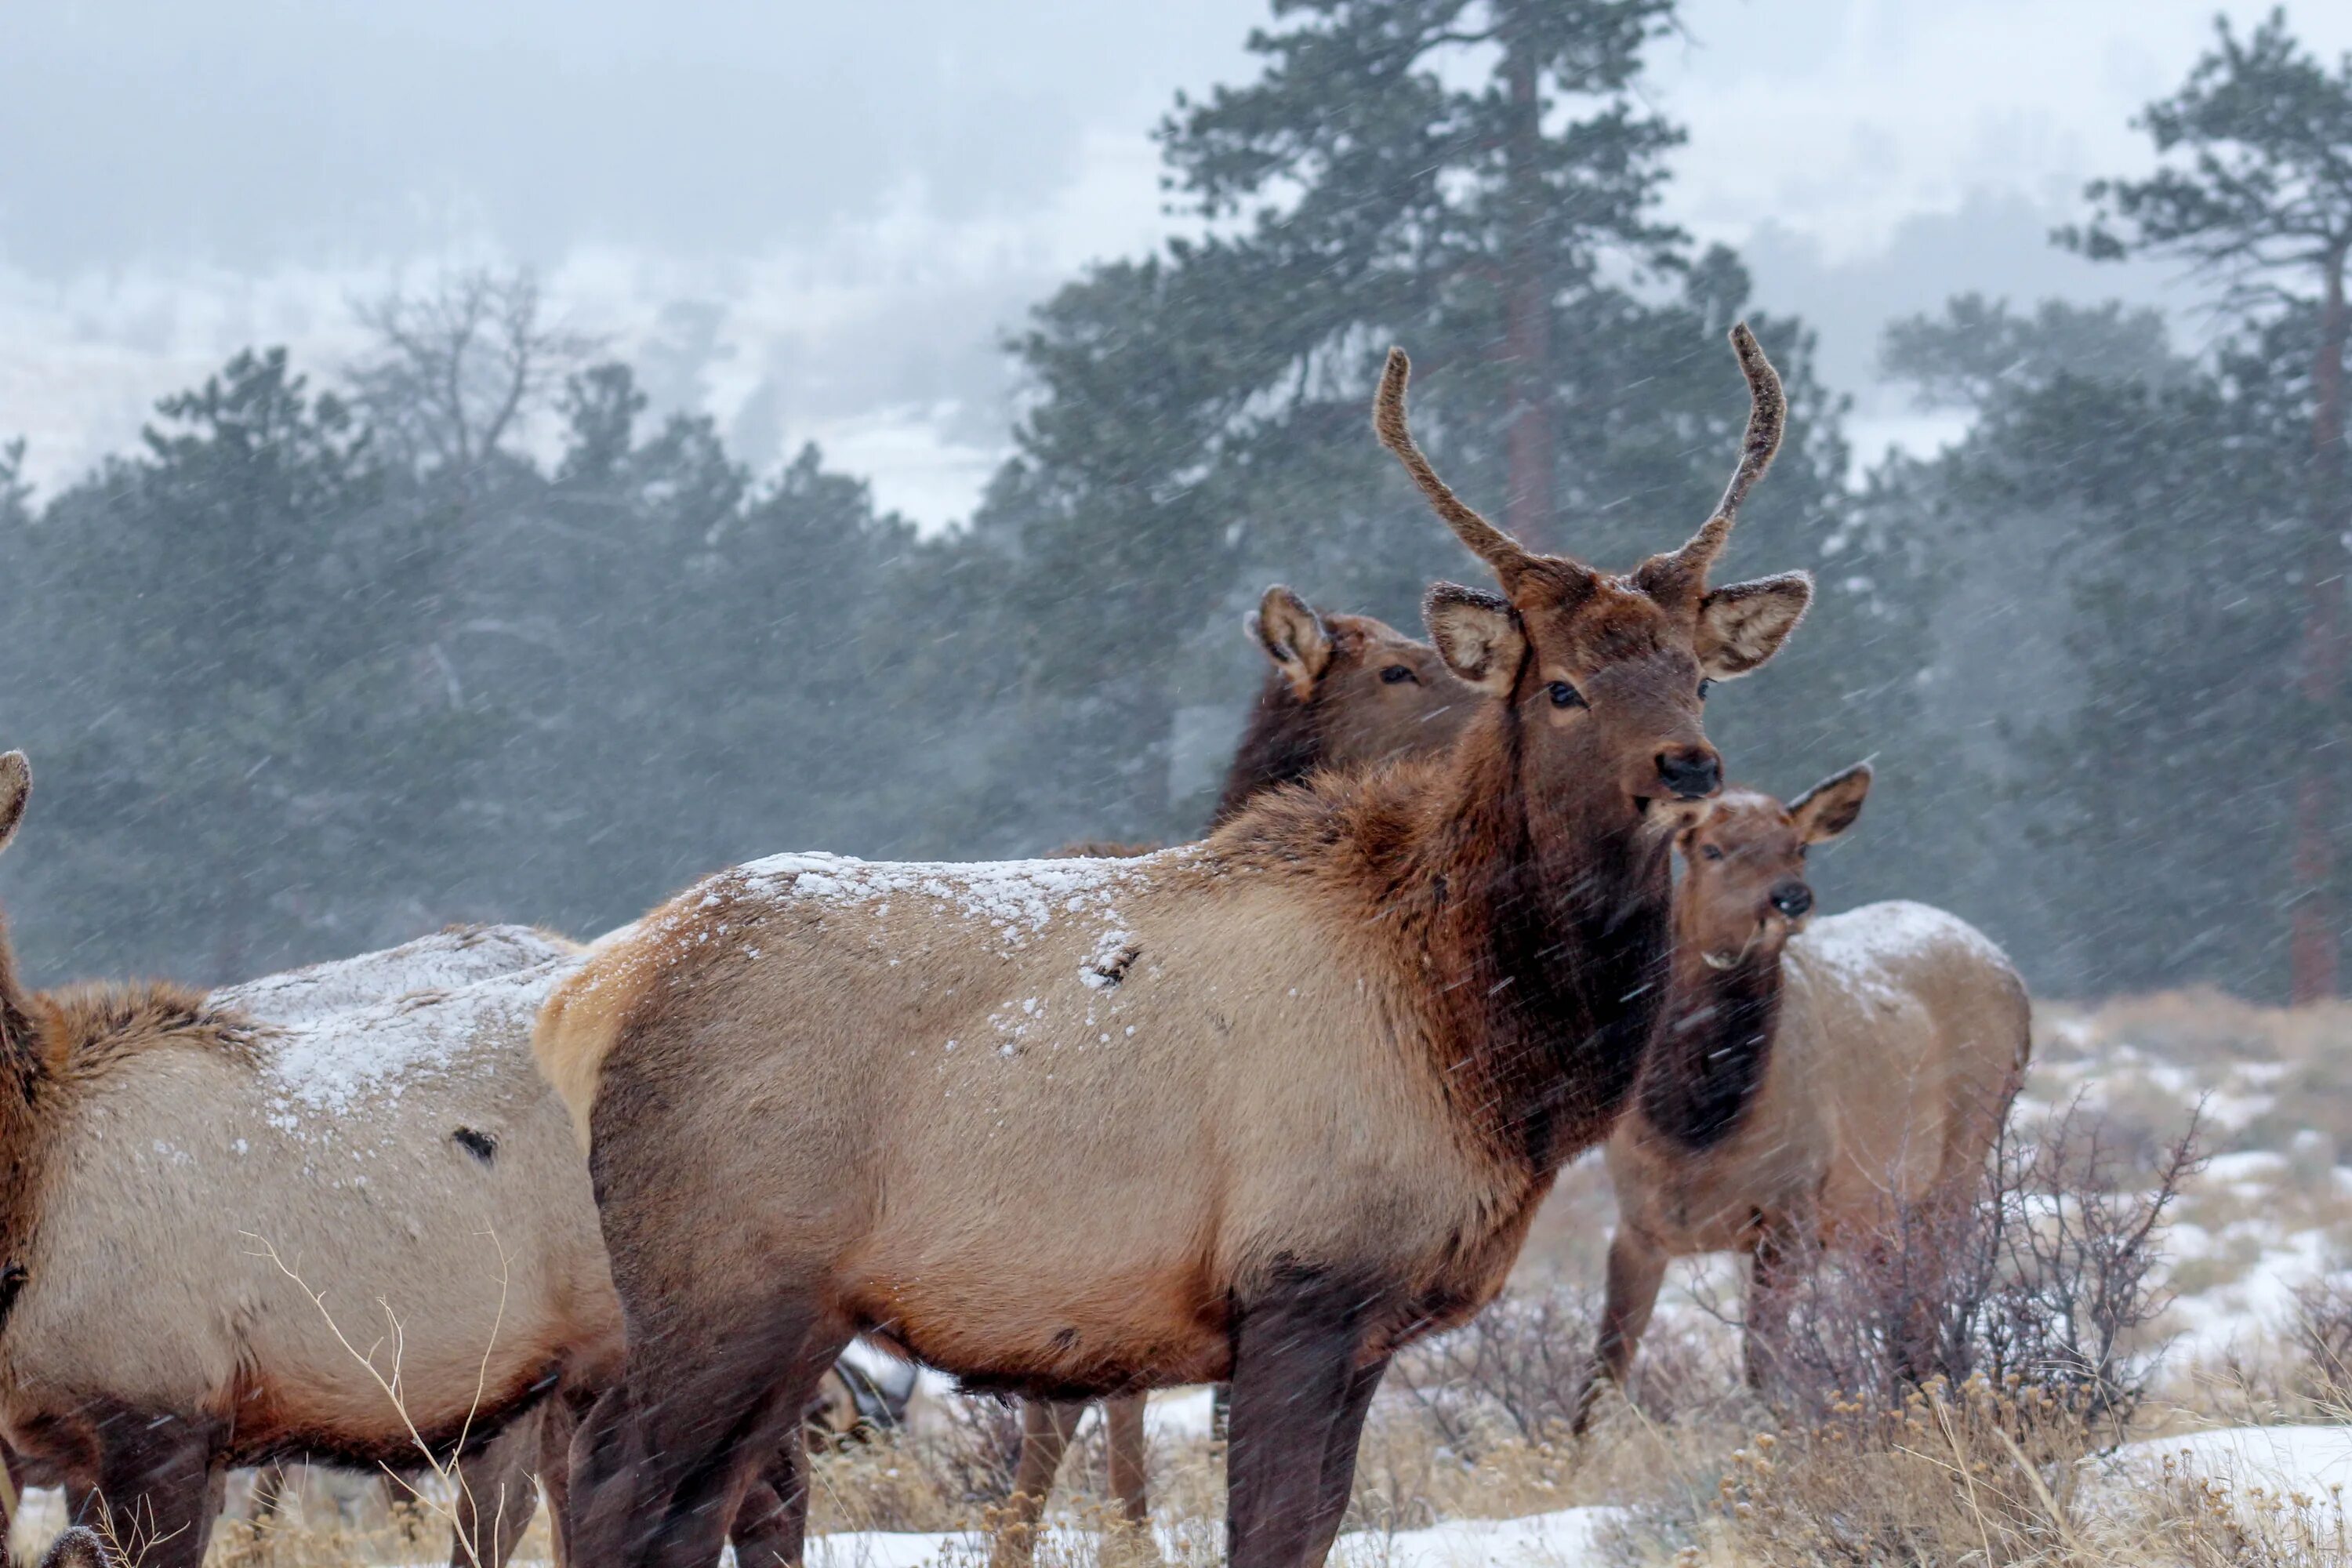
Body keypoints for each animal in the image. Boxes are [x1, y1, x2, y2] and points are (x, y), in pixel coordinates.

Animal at [1571, 771, 2032, 1439]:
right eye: (1710, 849)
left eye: (1799, 848)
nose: (1791, 899)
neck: (1696, 1135)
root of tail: (2012, 974)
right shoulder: (1636, 1219)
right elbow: (1602, 1371)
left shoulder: (1791, 1206)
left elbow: (1762, 1364)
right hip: (1874, 1210)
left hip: (1966, 1149)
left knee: (1927, 1300)